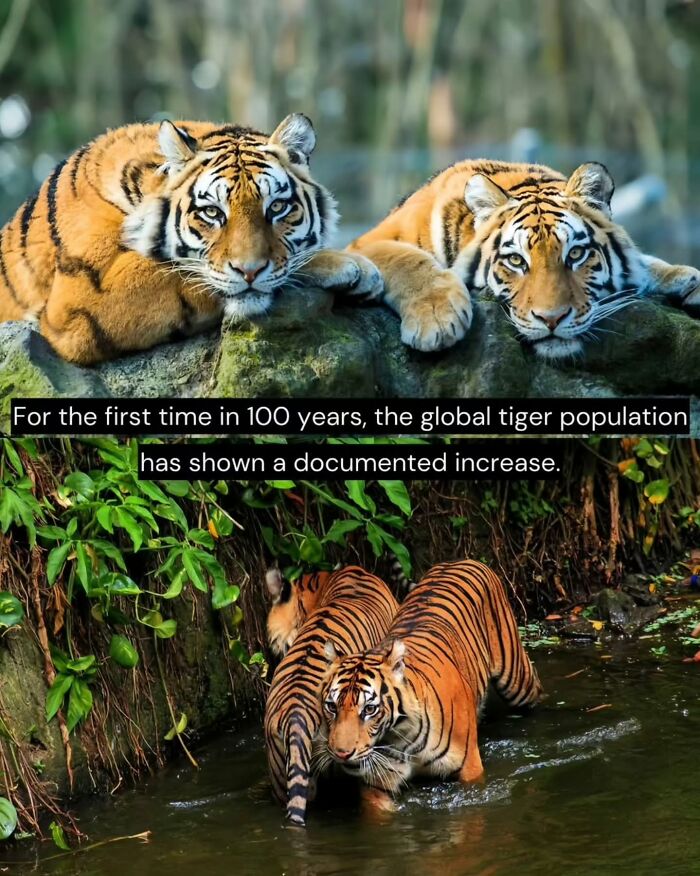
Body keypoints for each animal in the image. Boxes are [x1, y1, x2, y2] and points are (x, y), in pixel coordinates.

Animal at [0, 113, 382, 364]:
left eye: (277, 207)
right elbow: (182, 273)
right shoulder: (79, 298)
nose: (250, 271)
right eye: (212, 212)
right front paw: (348, 266)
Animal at [319, 559, 542, 813]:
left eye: (369, 709)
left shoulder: (469, 770)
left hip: (517, 680)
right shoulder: (377, 786)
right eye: (331, 706)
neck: (401, 736)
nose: (342, 754)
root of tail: (462, 560)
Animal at [347, 159, 700, 358]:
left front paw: (687, 279)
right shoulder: (365, 244)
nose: (552, 320)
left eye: (575, 254)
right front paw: (436, 320)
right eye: (516, 261)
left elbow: (644, 262)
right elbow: (409, 260)